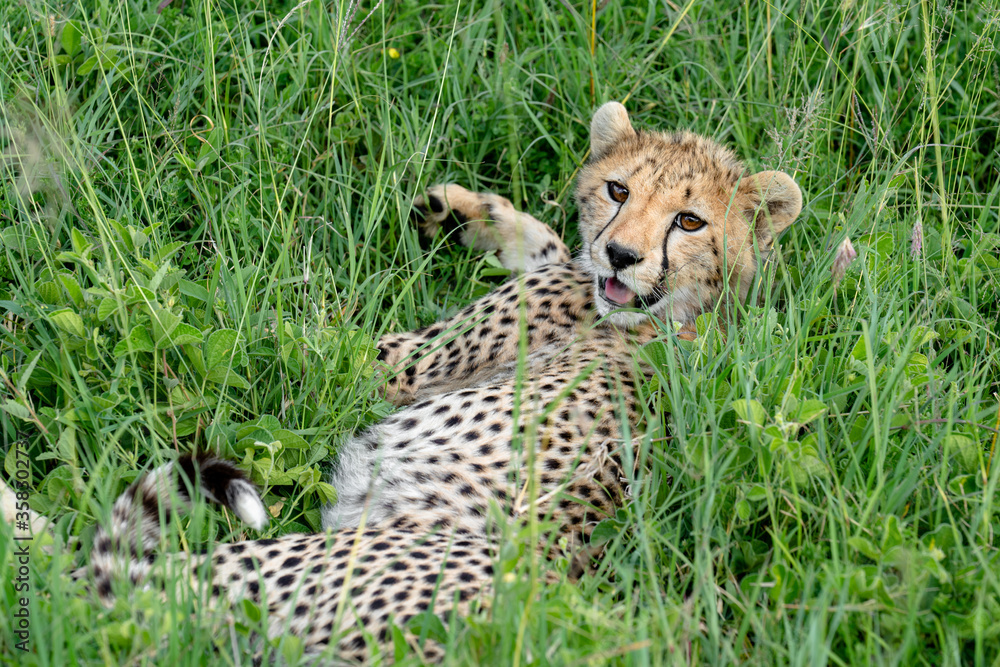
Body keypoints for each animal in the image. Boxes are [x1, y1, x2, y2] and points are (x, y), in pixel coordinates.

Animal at [78, 101, 803, 663]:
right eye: (619, 190)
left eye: (690, 220)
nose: (620, 254)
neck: (700, 311)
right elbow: (548, 241)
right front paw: (471, 211)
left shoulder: (405, 363)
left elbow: (274, 344)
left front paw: (136, 308)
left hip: (301, 562)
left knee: (107, 582)